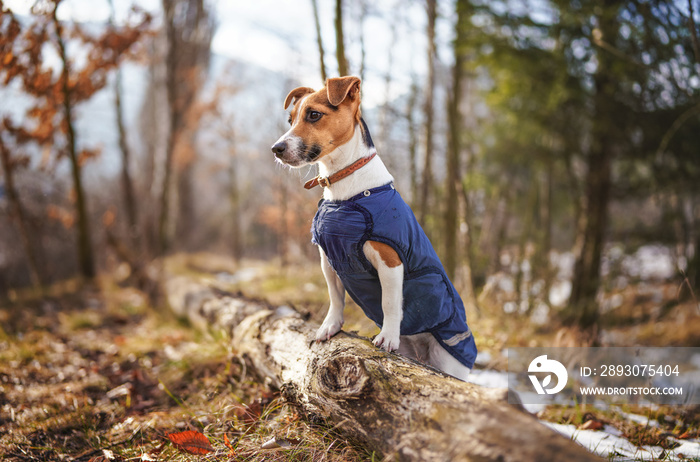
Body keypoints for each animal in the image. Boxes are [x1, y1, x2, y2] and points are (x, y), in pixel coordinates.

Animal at [270, 76, 478, 378]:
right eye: (290, 119)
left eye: (314, 115)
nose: (276, 149)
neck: (344, 190)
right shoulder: (328, 260)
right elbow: (335, 297)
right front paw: (330, 326)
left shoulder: (390, 260)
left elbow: (390, 302)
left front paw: (388, 336)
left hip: (448, 359)